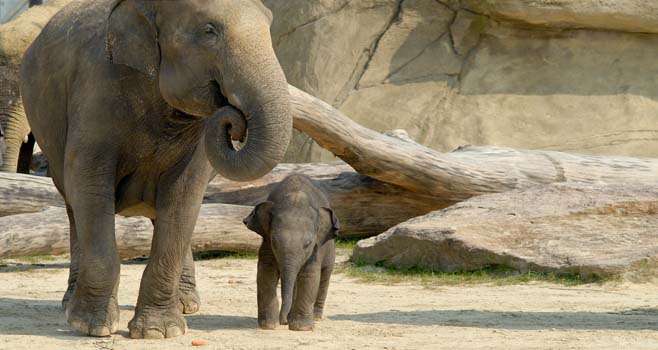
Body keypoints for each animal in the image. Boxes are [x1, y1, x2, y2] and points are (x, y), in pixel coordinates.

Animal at [19, 0, 290, 340]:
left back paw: (187, 305)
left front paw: (159, 332)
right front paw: (91, 326)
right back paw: (70, 304)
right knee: (72, 207)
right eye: (209, 31)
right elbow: (89, 185)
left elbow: (184, 196)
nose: (233, 118)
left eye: (269, 25)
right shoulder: (97, 93)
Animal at [242, 175, 338, 330]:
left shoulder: (316, 250)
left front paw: (301, 328)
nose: (283, 321)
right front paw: (269, 325)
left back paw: (316, 317)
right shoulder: (266, 242)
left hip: (330, 251)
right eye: (274, 241)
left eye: (308, 244)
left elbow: (310, 275)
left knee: (324, 276)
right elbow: (266, 272)